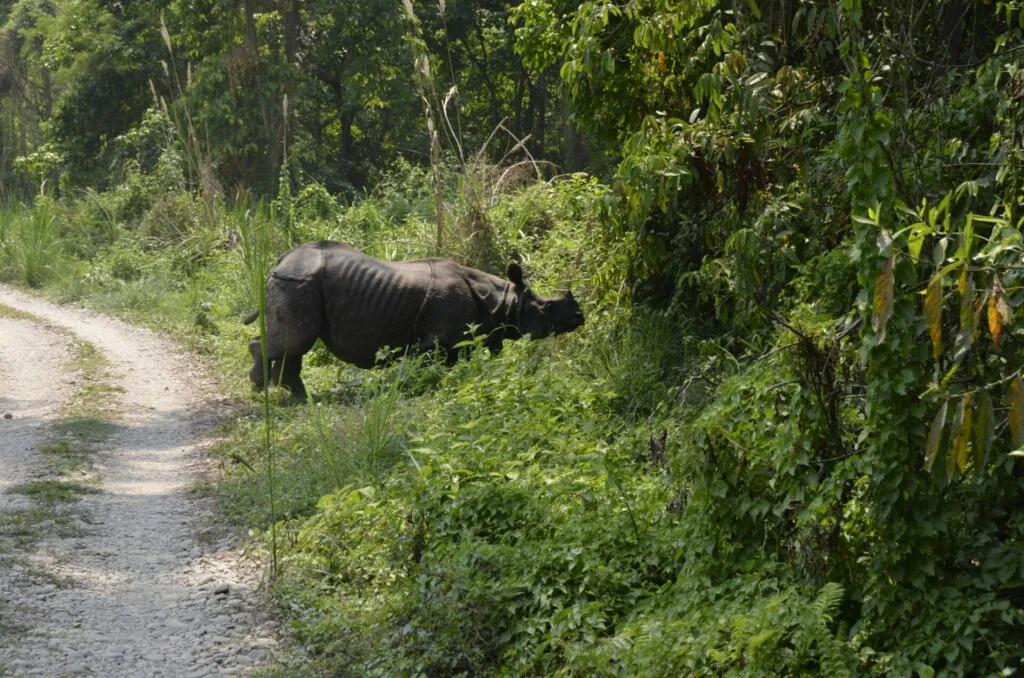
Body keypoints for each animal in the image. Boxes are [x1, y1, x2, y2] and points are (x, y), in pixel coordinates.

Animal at [245, 240, 584, 398]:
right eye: (545, 308)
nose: (580, 317)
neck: (503, 301)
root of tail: (281, 260)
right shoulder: (436, 340)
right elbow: (430, 365)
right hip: (297, 282)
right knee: (295, 341)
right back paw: (264, 389)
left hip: (298, 282)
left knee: (294, 345)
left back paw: (295, 395)